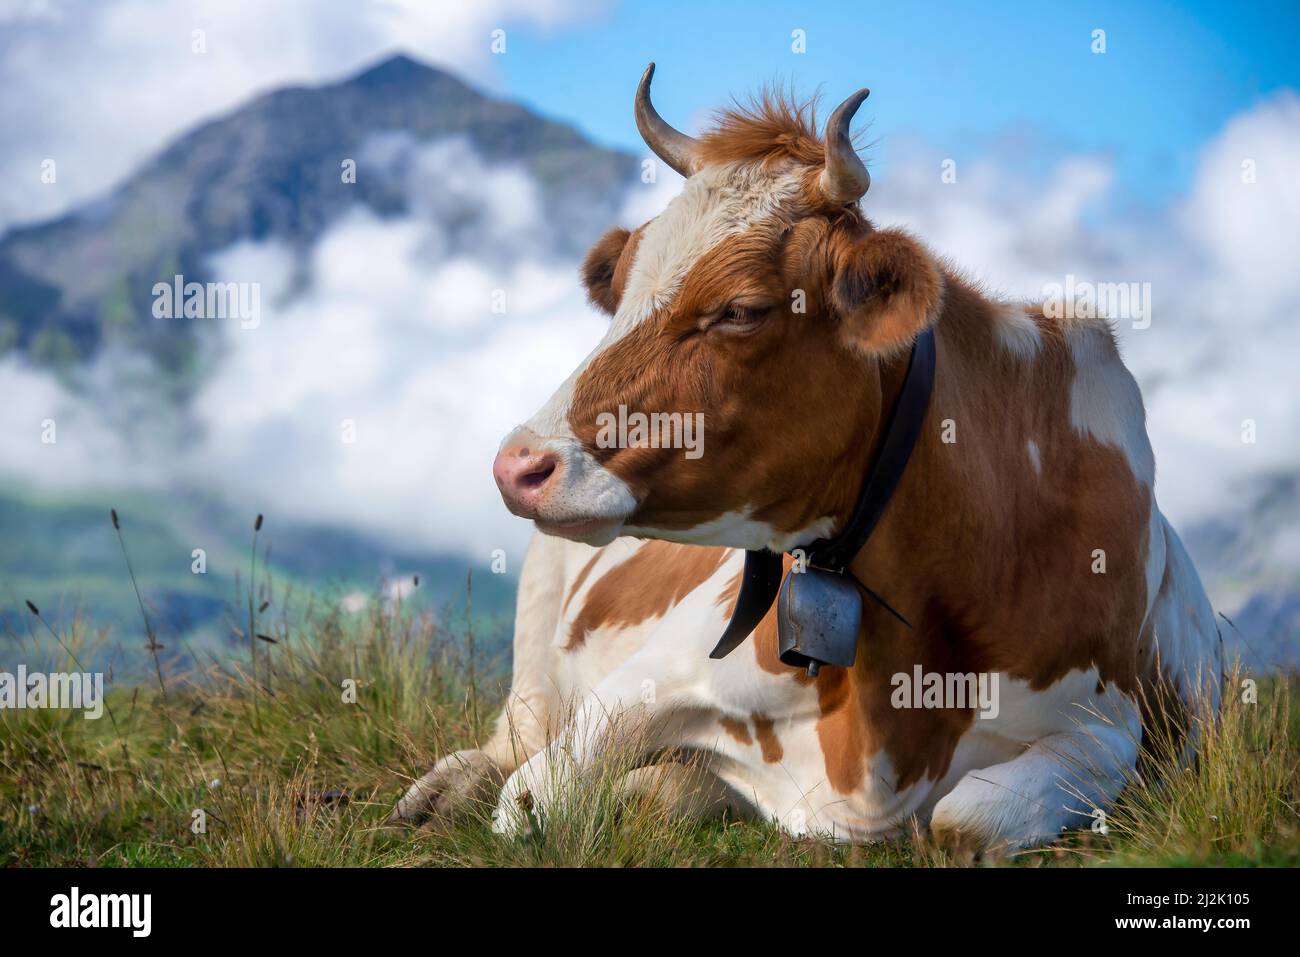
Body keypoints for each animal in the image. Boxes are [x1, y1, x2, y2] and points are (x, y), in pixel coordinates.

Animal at [392, 65, 1223, 850]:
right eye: (620, 287)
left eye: (741, 309)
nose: (519, 464)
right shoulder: (662, 668)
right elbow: (534, 795)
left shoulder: (1110, 733)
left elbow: (968, 817)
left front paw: (667, 785)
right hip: (537, 621)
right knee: (512, 739)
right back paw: (440, 790)